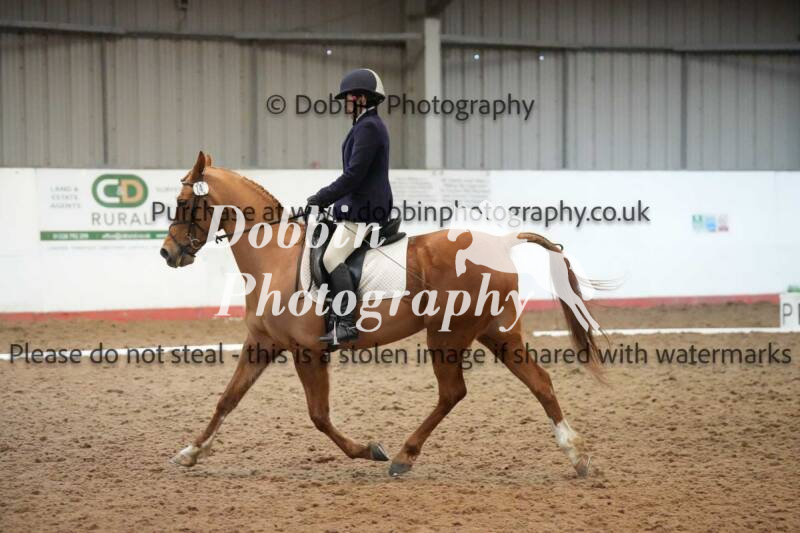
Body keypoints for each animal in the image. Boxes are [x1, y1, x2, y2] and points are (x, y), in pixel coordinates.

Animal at [160, 151, 604, 478]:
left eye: (182, 203)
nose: (167, 253)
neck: (274, 255)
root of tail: (502, 241)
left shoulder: (308, 351)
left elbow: (318, 416)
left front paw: (370, 449)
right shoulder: (262, 344)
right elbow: (227, 400)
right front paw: (190, 452)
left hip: (448, 335)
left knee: (453, 392)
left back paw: (404, 457)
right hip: (497, 332)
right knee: (539, 382)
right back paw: (577, 455)